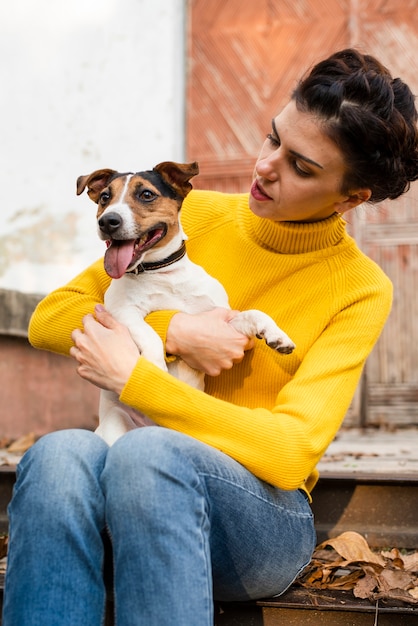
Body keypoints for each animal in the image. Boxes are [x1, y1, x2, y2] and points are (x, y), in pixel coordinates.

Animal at [76, 161, 296, 444]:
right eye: (105, 197)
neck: (161, 273)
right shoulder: (122, 312)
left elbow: (253, 313)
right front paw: (155, 370)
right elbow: (149, 334)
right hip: (116, 422)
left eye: (146, 194)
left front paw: (277, 335)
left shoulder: (219, 320)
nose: (108, 221)